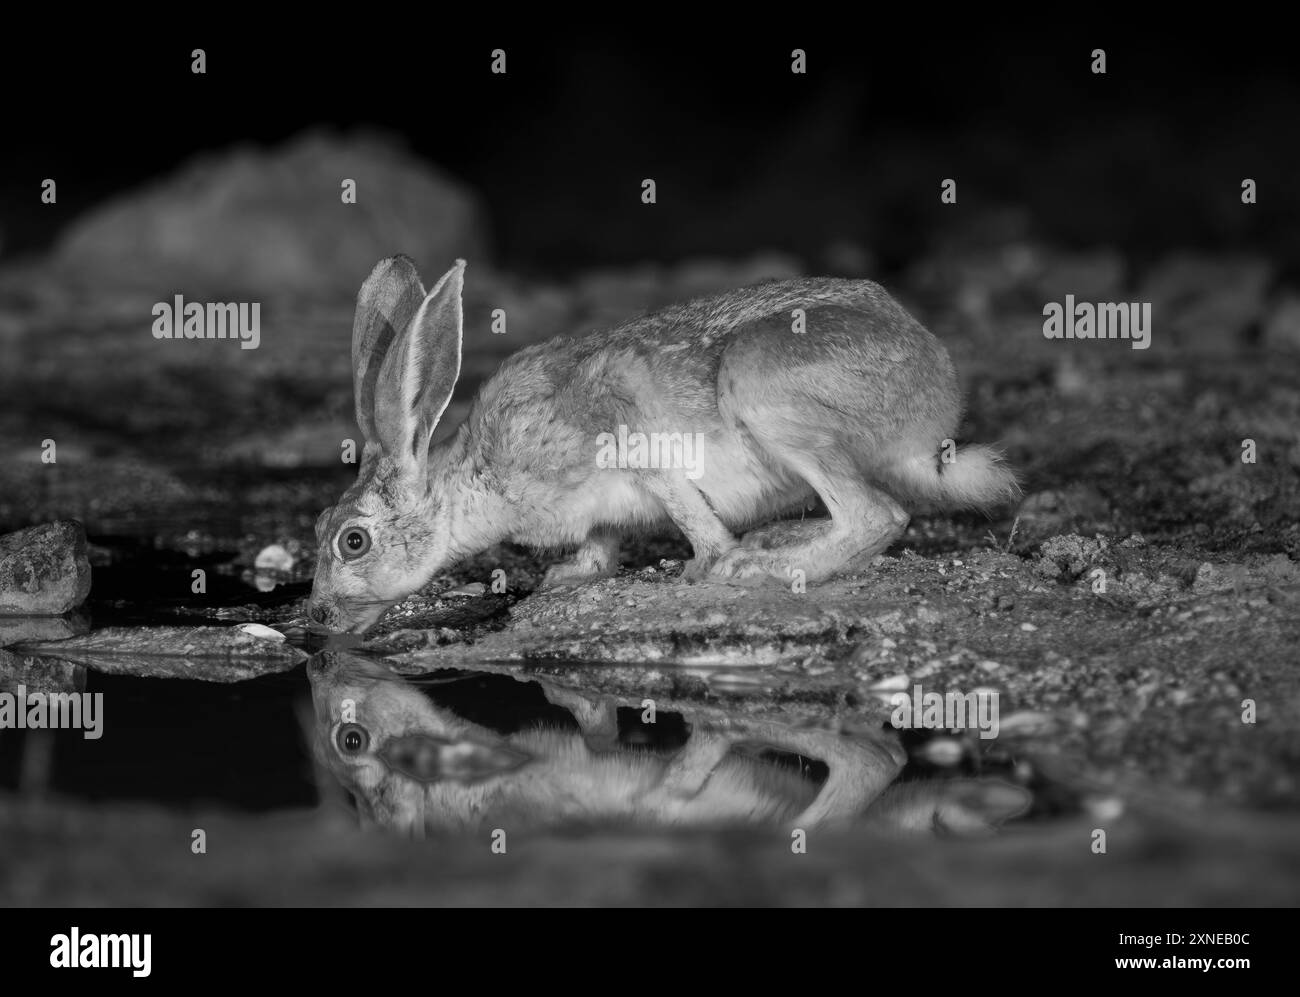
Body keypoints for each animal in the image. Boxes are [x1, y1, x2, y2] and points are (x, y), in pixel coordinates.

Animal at [308, 257, 1019, 633]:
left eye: (353, 541)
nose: (316, 617)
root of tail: (932, 408)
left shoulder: (630, 445)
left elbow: (687, 512)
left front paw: (708, 565)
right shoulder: (602, 509)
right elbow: (602, 542)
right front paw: (572, 576)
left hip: (763, 388)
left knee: (878, 515)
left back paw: (762, 566)